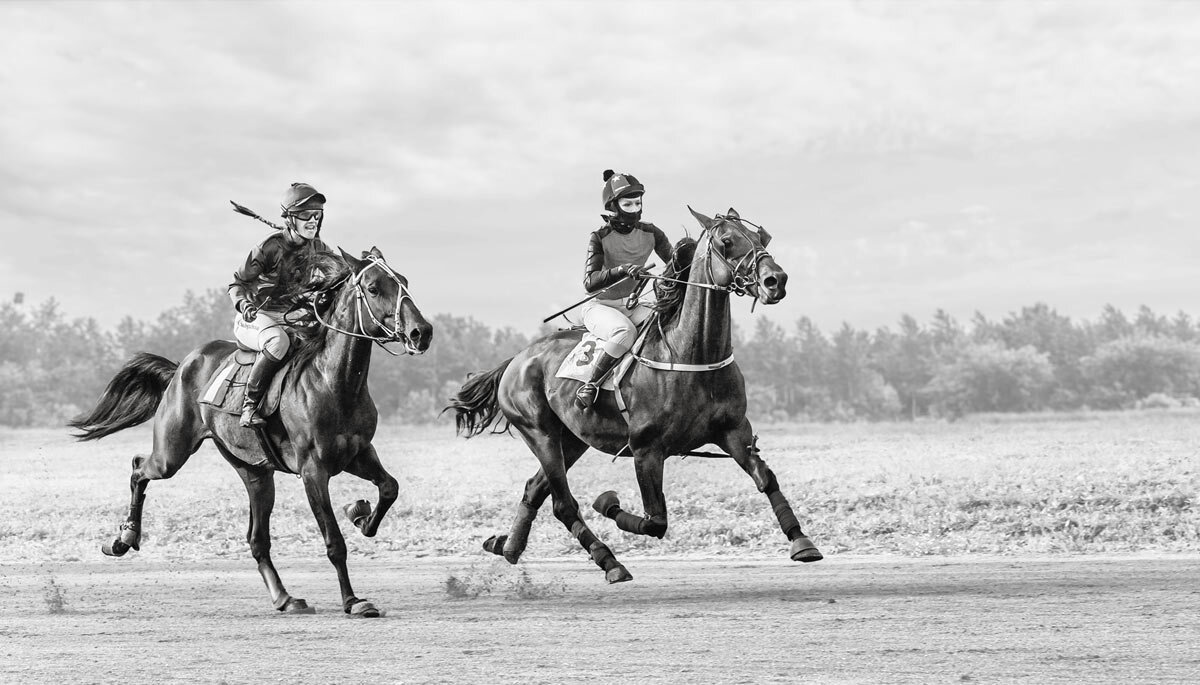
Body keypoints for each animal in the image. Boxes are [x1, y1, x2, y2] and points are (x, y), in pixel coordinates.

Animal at [68, 247, 434, 614]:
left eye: (403, 281)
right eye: (373, 288)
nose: (422, 332)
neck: (333, 381)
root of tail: (180, 367)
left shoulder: (358, 454)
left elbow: (389, 488)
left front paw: (359, 514)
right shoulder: (313, 470)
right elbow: (334, 541)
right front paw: (353, 601)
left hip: (255, 473)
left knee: (257, 540)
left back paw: (285, 597)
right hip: (171, 453)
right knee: (138, 468)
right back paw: (123, 539)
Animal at [446, 208, 820, 585]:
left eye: (761, 238)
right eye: (727, 241)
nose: (776, 280)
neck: (690, 355)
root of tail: (516, 360)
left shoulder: (734, 432)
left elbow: (765, 478)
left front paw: (802, 542)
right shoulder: (646, 450)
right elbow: (656, 521)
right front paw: (607, 502)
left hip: (573, 439)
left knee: (534, 488)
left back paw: (506, 545)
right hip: (541, 434)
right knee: (564, 504)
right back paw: (609, 561)